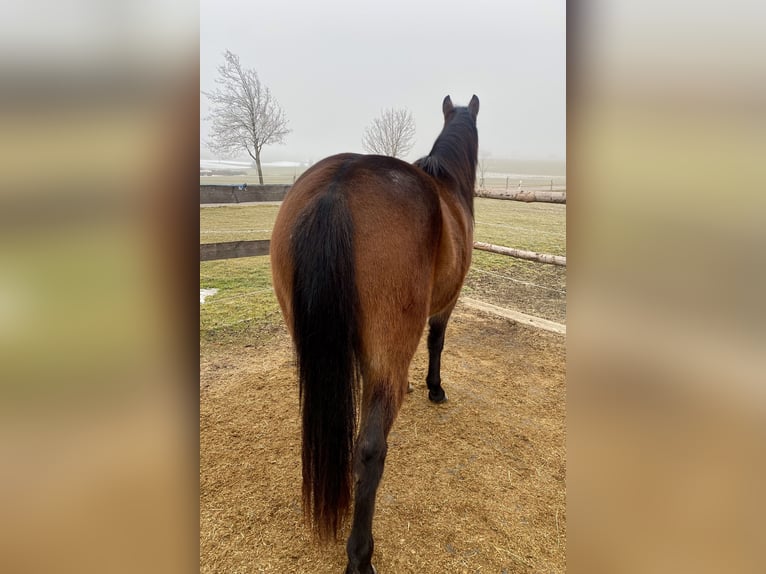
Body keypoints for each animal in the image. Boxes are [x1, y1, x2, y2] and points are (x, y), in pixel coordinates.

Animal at [270, 94, 479, 573]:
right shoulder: (446, 303)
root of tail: (338, 187)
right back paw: (360, 555)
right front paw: (434, 388)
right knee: (369, 450)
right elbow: (437, 342)